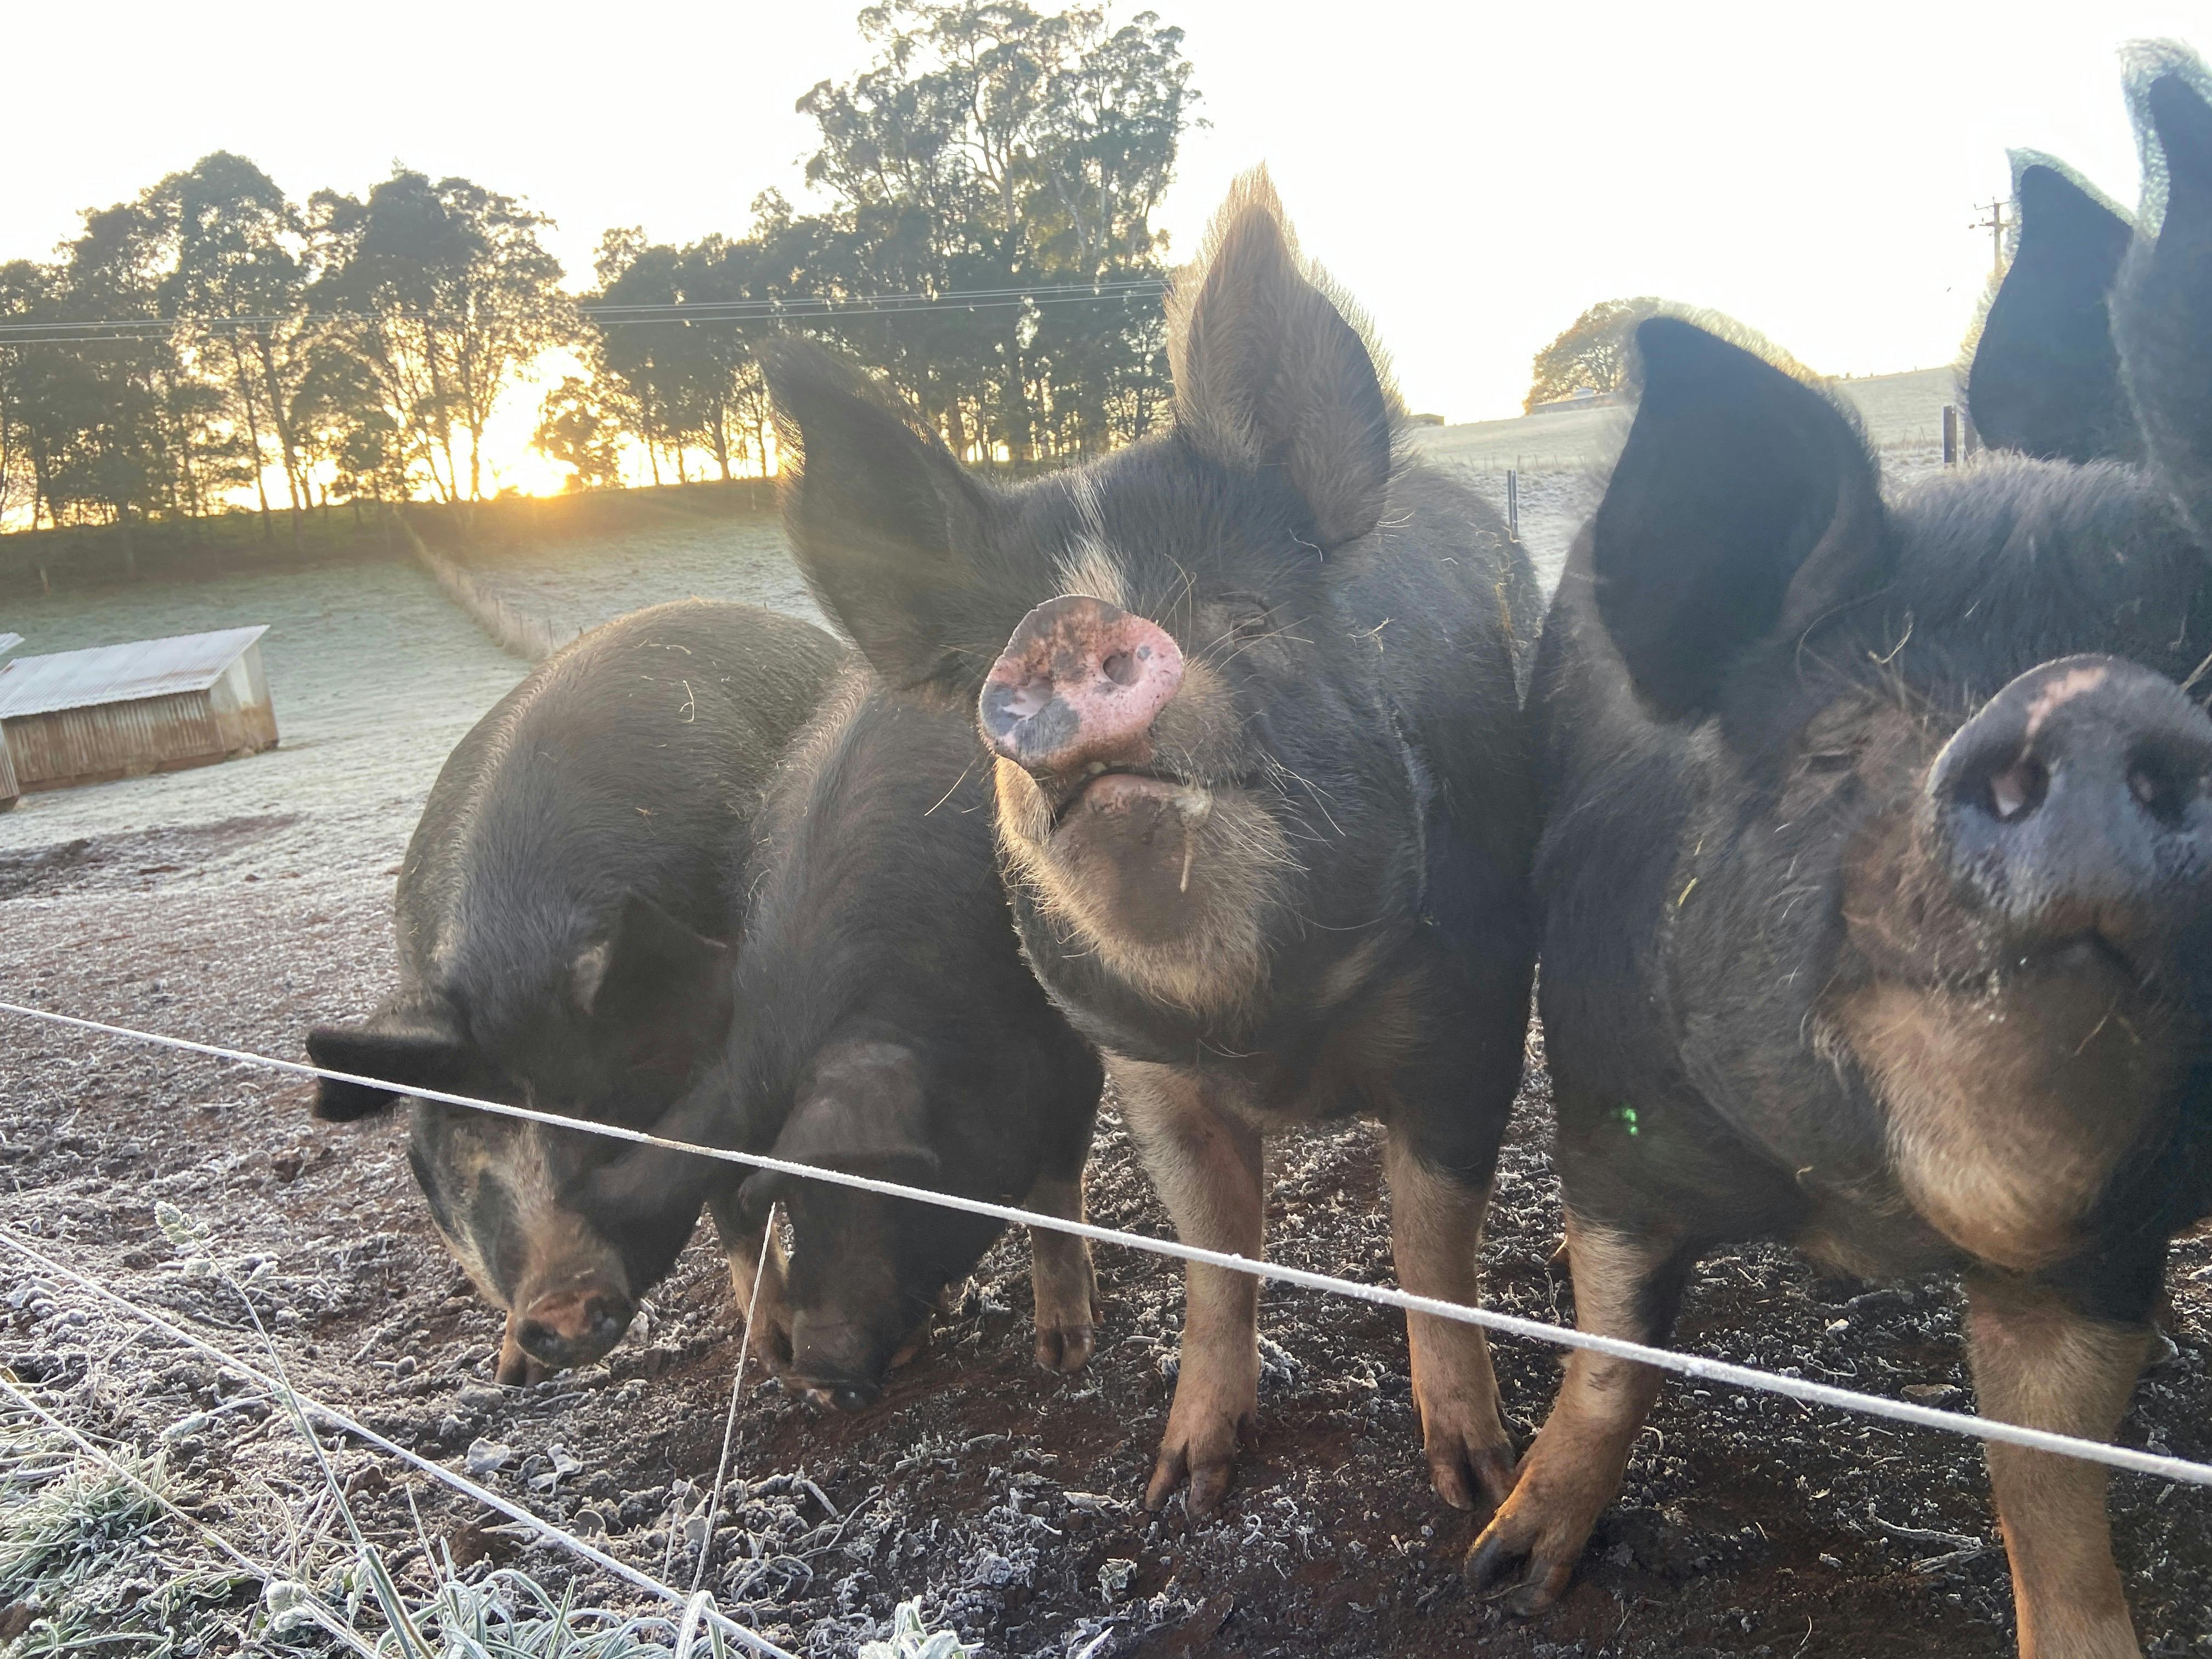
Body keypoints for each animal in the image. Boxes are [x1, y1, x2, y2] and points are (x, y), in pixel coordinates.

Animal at [303, 599, 848, 1384]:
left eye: (610, 1111)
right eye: (466, 1129)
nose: (564, 1300)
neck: (514, 955)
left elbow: (731, 1194)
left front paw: (777, 1357)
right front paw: (509, 1376)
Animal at [691, 664, 1104, 1408]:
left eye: (902, 1186)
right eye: (791, 1200)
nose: (820, 1372)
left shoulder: (1069, 1056)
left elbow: (1054, 1199)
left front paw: (1064, 1356)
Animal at [765, 171, 1540, 1514]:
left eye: (1246, 615)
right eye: (989, 663)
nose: (1067, 621)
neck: (1258, 1019)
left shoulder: (1472, 1003)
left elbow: (1432, 1243)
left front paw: (1475, 1486)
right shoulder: (1137, 1063)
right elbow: (1214, 1255)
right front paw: (1180, 1483)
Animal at [1467, 50, 2212, 1659]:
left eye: (2188, 665)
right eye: (1835, 748)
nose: (2089, 695)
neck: (1871, 1213)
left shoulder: (2093, 1256)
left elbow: (2051, 1478)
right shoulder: (1607, 1102)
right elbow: (1613, 1349)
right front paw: (1504, 1569)